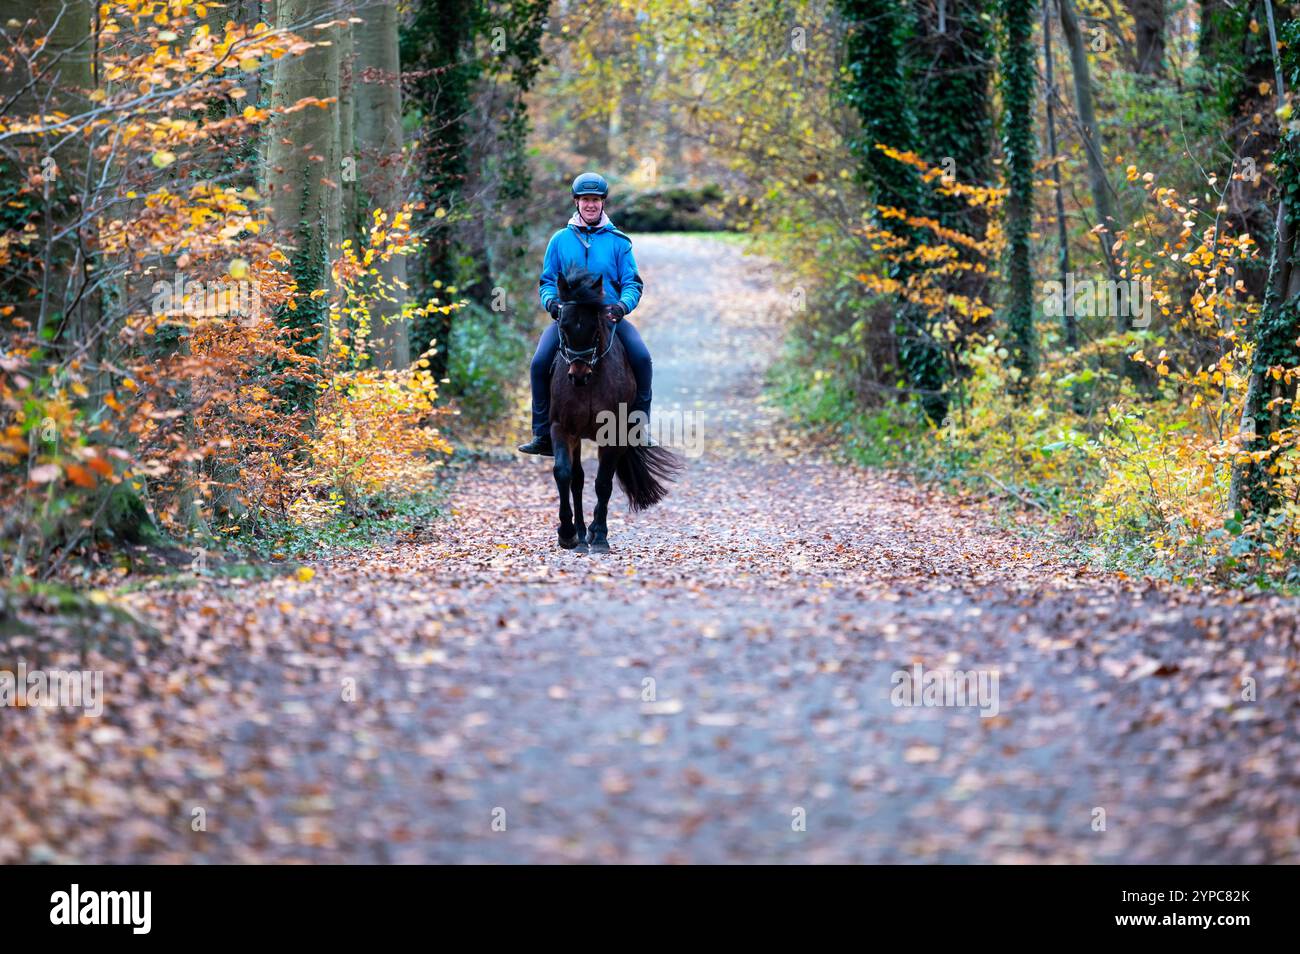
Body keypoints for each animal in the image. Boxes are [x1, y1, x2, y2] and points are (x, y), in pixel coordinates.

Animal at [548, 266, 682, 552]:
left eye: (594, 327)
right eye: (563, 326)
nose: (578, 375)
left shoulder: (613, 433)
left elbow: (603, 483)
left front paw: (599, 536)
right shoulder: (561, 428)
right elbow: (564, 473)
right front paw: (567, 534)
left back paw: (590, 533)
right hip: (577, 437)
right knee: (577, 480)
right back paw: (579, 534)